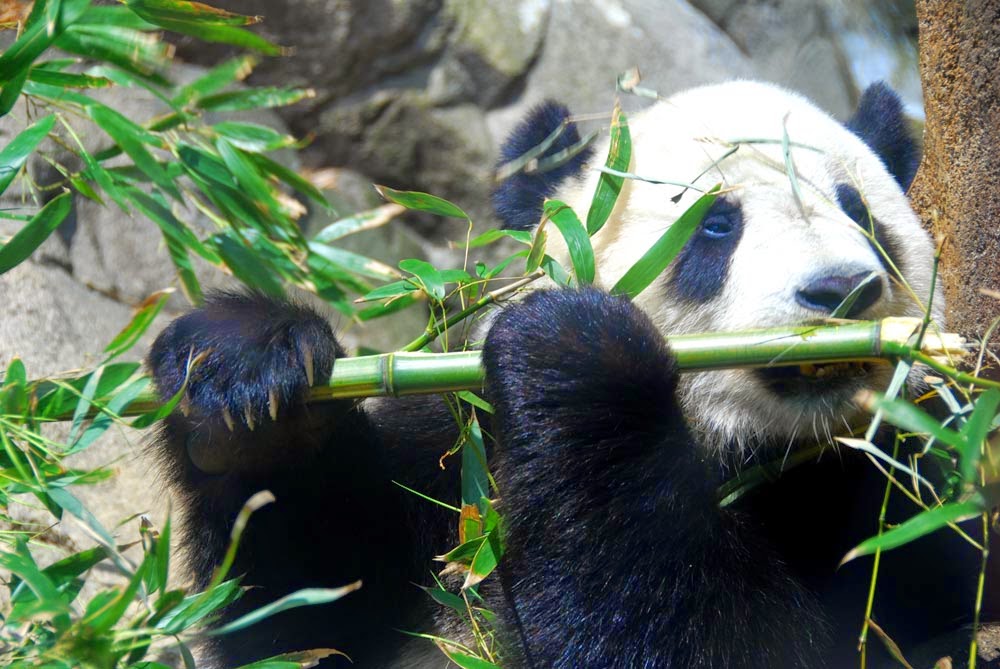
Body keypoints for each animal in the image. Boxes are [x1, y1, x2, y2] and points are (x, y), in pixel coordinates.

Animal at [148, 81, 980, 669]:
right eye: (716, 225)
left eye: (861, 214)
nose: (841, 291)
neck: (750, 452)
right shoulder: (456, 471)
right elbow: (312, 617)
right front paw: (245, 383)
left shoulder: (909, 500)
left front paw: (578, 359)